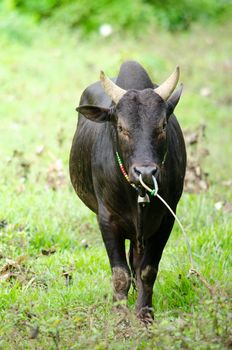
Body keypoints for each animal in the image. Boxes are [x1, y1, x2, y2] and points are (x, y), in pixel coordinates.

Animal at [69, 60, 187, 320]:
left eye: (162, 125)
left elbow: (148, 270)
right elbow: (120, 275)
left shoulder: (167, 219)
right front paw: (120, 316)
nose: (145, 172)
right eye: (121, 127)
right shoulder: (107, 220)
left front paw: (144, 314)